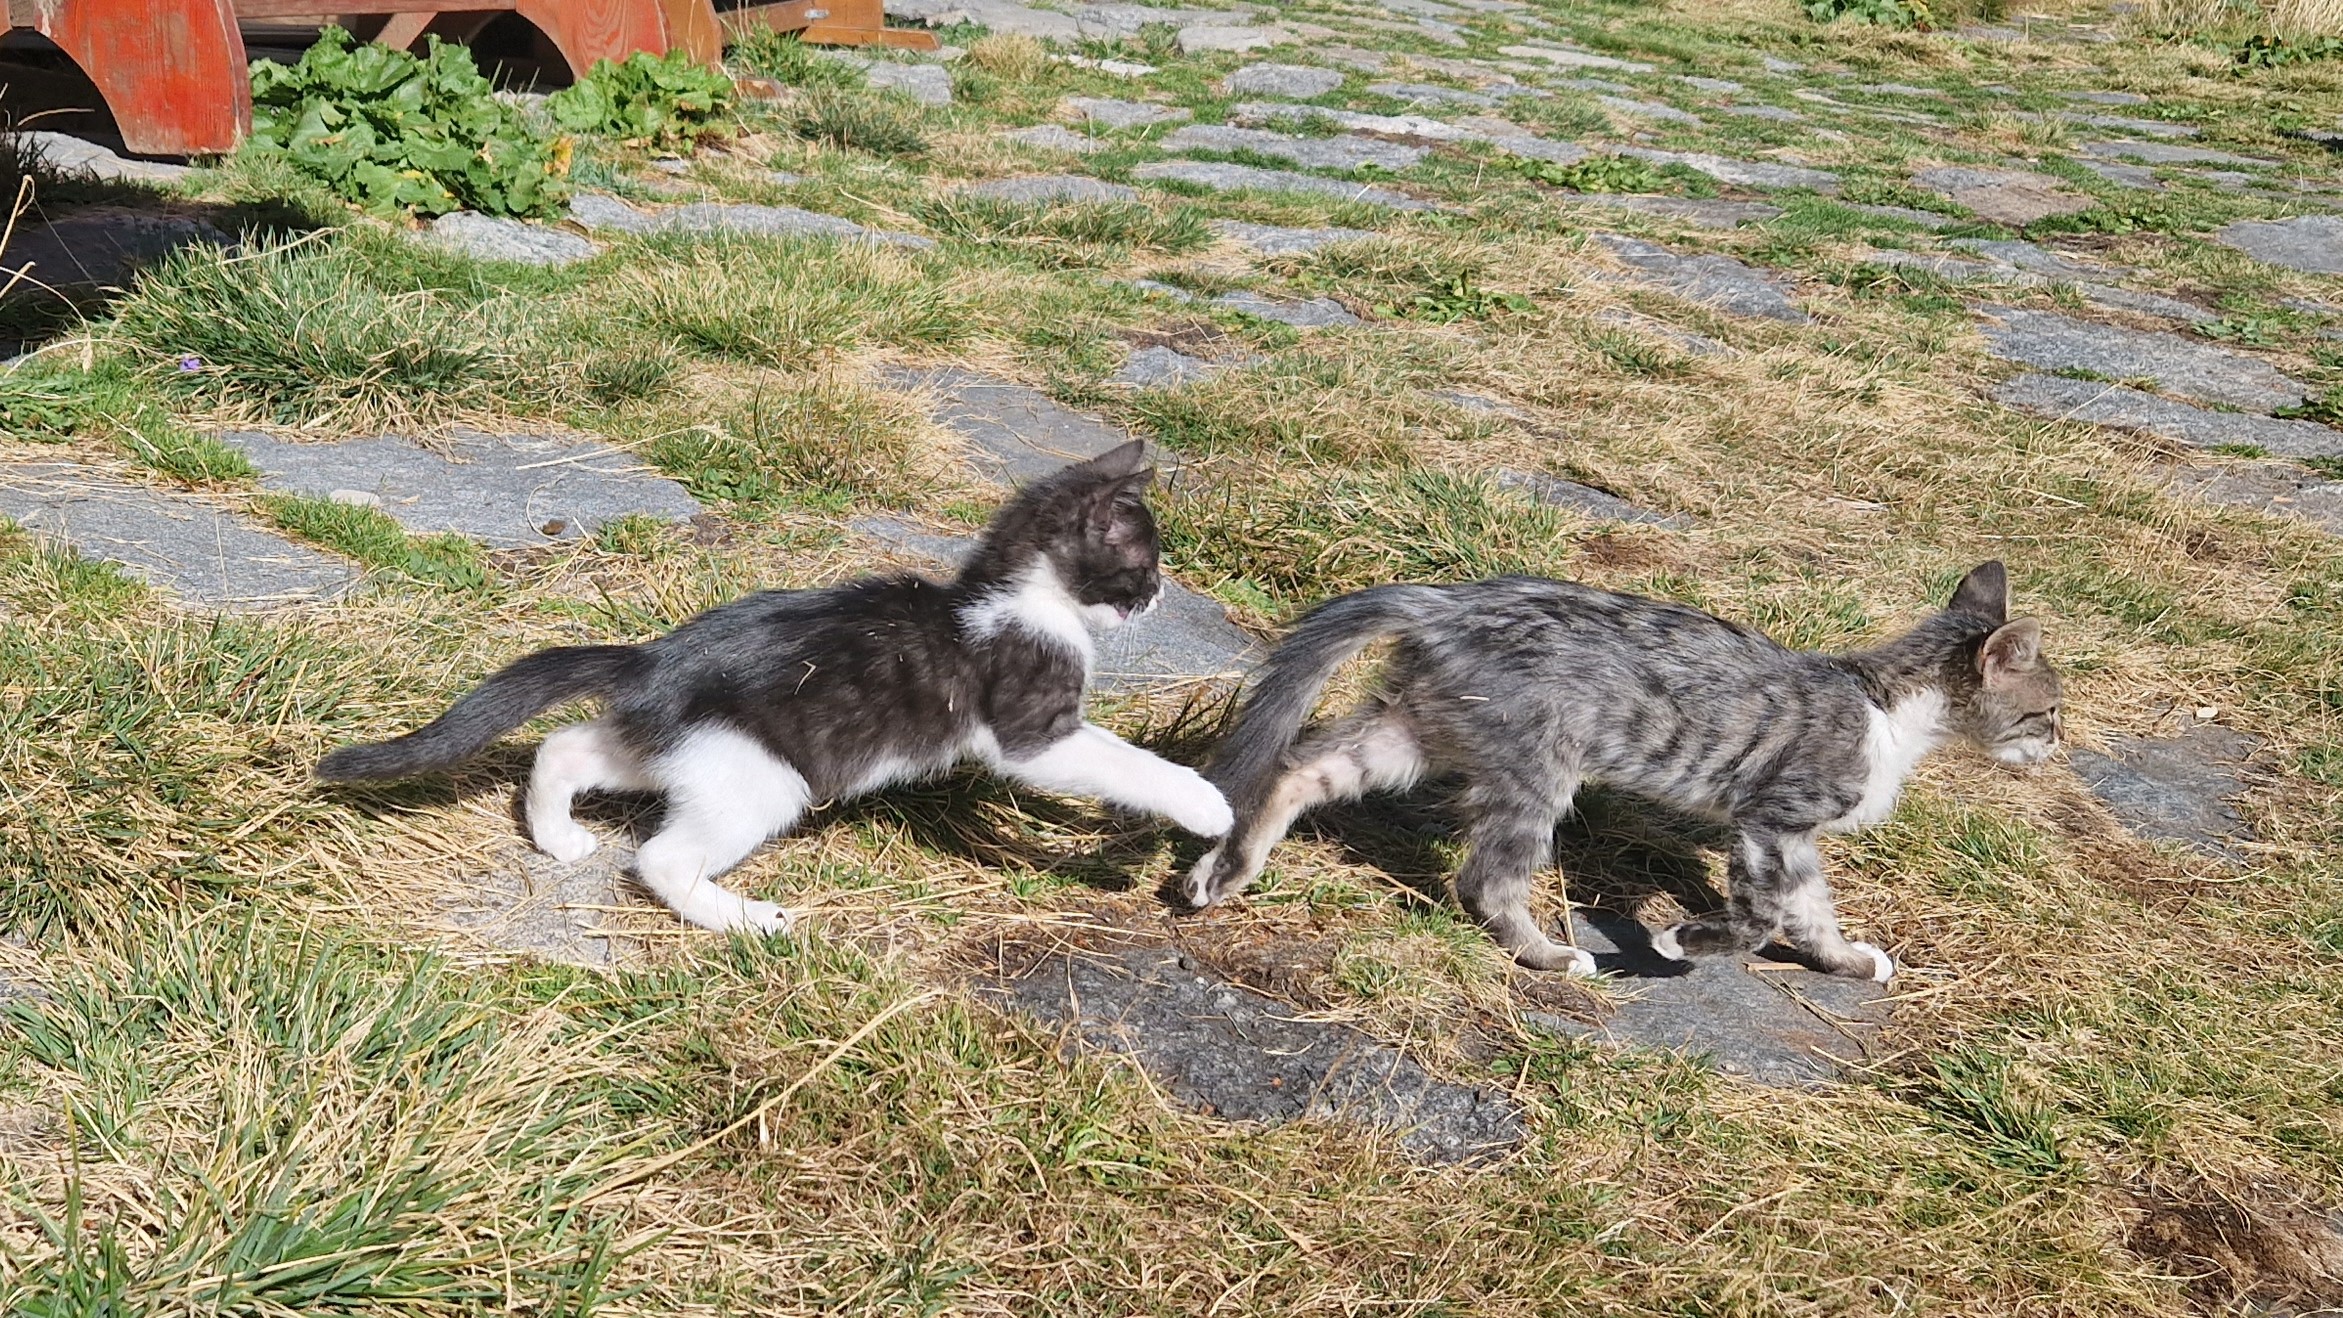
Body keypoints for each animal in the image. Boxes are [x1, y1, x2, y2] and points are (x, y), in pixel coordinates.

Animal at [320, 442, 1237, 936]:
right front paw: (1204, 804)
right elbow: (1121, 760)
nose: (1161, 597)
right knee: (659, 858)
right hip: (762, 780)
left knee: (565, 746)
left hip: (690, 752)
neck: (1017, 597)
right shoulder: (1030, 723)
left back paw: (558, 837)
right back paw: (744, 921)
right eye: (1144, 566)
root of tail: (654, 661)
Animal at [1190, 561, 2052, 983]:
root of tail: (1448, 602)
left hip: (1420, 729)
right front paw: (1678, 941)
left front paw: (1842, 960)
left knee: (1300, 767)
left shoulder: (1798, 841)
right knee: (1485, 880)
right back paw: (1548, 956)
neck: (1886, 709)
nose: (2054, 744)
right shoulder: (1771, 817)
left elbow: (1810, 913)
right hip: (1538, 765)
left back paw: (1222, 872)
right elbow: (1762, 916)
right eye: (2044, 712)